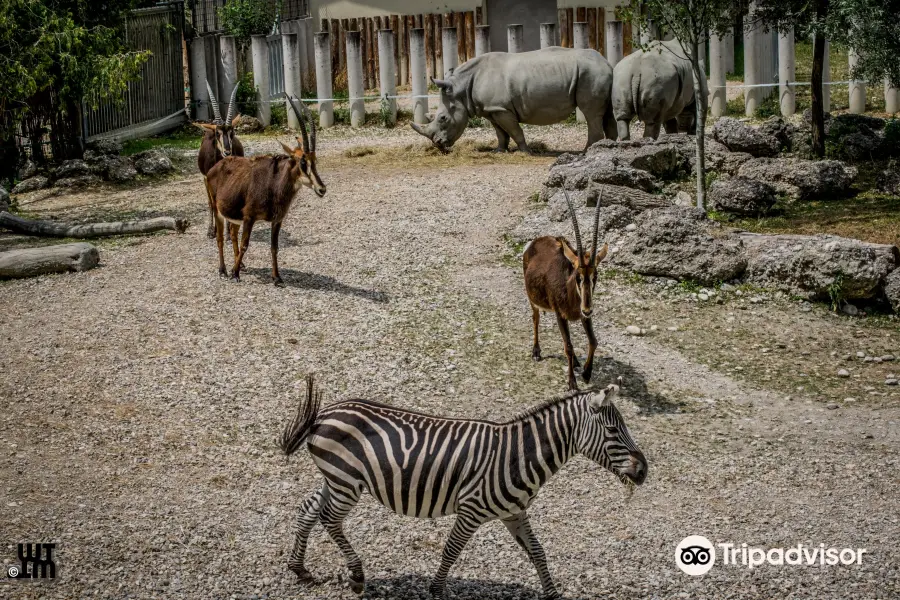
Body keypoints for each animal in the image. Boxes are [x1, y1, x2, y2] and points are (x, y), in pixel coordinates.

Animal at [194, 82, 243, 237]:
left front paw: (227, 232)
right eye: (217, 133)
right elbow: (211, 203)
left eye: (232, 132)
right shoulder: (206, 178)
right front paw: (211, 231)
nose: (227, 152)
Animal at [206, 96, 326, 286]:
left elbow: (274, 247)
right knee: (220, 238)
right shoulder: (249, 218)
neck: (273, 185)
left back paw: (239, 266)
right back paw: (223, 270)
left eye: (315, 161)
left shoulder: (277, 221)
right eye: (302, 161)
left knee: (232, 234)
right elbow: (245, 244)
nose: (322, 189)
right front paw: (235, 274)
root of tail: (216, 166)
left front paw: (277, 277)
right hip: (217, 210)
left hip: (233, 215)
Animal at [280, 378, 648, 596]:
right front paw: (437, 590)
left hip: (336, 478)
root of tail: (324, 413)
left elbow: (538, 552)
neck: (518, 455)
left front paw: (553, 594)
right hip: (347, 481)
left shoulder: (515, 513)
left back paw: (300, 570)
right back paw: (356, 576)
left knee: (308, 509)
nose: (644, 471)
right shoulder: (472, 510)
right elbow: (451, 550)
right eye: (613, 431)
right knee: (329, 519)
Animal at [520, 190, 612, 392]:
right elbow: (568, 346)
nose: (587, 309)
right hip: (533, 301)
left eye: (595, 276)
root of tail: (537, 241)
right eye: (578, 276)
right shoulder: (560, 314)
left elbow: (593, 341)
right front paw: (572, 383)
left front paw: (586, 374)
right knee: (536, 318)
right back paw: (536, 352)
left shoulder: (584, 317)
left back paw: (577, 362)